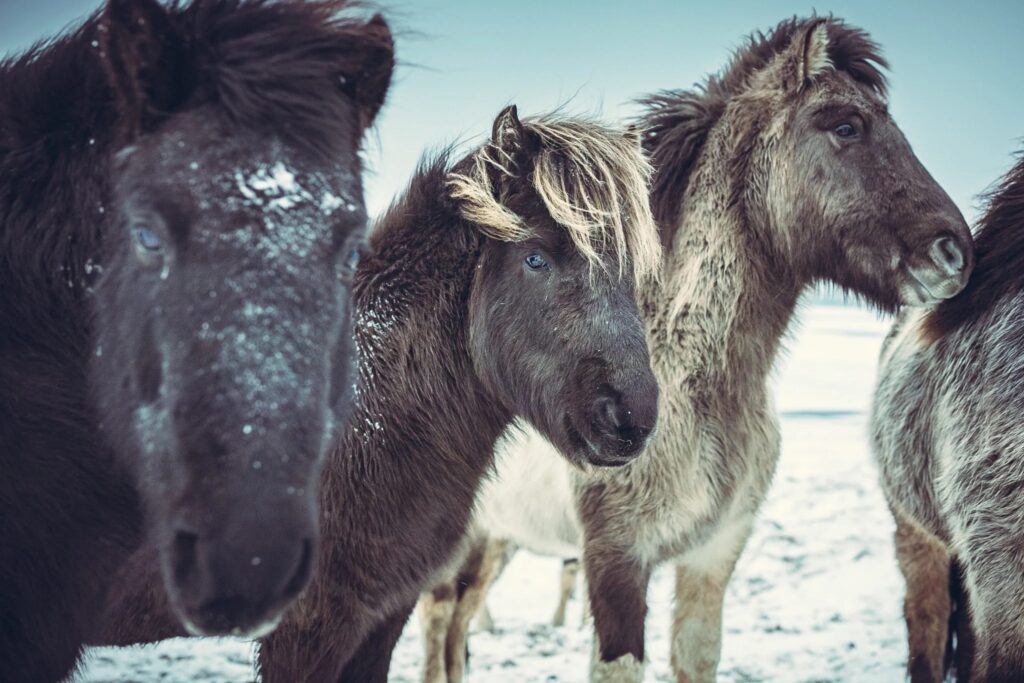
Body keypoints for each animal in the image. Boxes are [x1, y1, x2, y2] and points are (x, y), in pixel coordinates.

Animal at [419, 15, 970, 683]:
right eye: (846, 125)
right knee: (438, 619)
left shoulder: (713, 555)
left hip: (498, 540)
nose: (955, 252)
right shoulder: (615, 561)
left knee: (459, 624)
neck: (689, 384)